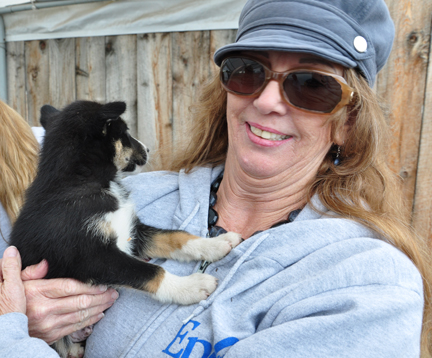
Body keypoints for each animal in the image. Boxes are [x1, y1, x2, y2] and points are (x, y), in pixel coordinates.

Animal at [10, 100, 241, 358]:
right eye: (126, 132)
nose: (148, 149)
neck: (82, 181)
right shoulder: (93, 256)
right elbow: (151, 272)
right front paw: (191, 286)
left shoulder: (131, 232)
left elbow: (175, 237)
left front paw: (216, 244)